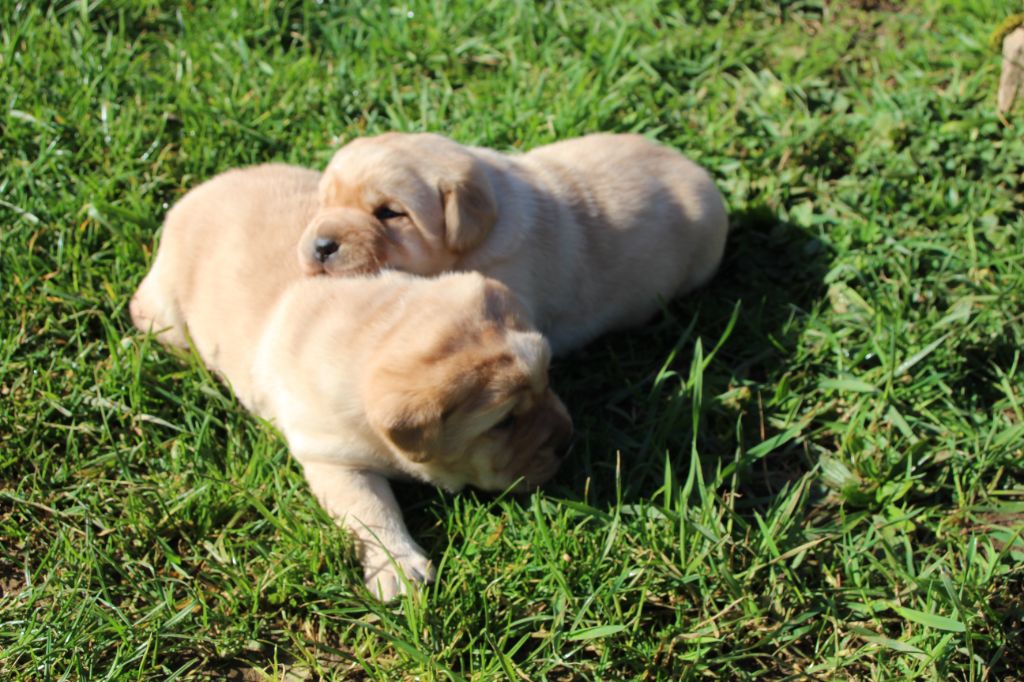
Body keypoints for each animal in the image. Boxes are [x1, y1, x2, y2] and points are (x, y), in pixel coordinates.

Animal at [129, 163, 573, 593]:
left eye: (548, 379)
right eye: (505, 422)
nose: (567, 442)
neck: (380, 327)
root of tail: (199, 191)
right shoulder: (332, 458)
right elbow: (371, 511)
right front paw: (398, 569)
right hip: (166, 318)